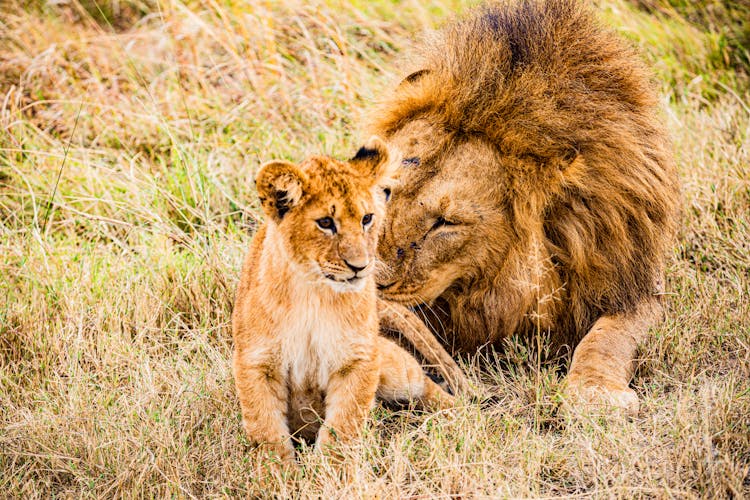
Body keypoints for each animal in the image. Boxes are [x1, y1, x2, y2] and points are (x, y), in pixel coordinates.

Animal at [370, 0, 680, 414]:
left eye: (446, 223)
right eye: (385, 192)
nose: (369, 279)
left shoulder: (637, 283)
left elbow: (608, 337)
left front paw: (594, 391)